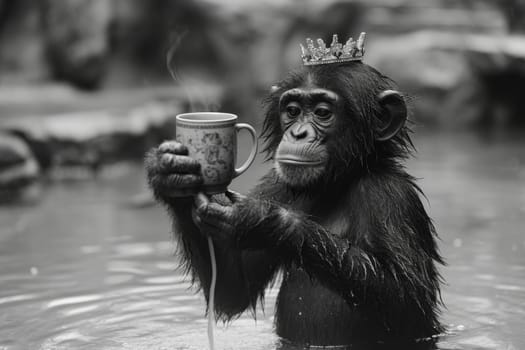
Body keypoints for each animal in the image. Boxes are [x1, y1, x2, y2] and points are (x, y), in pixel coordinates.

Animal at [144, 39, 442, 346]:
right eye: (292, 111)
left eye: (322, 112)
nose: (298, 133)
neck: (337, 184)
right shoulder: (276, 185)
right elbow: (233, 292)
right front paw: (170, 173)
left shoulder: (390, 197)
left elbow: (405, 296)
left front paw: (263, 221)